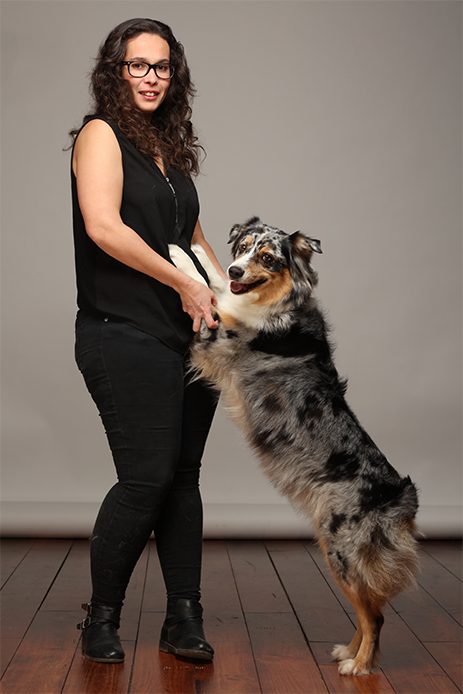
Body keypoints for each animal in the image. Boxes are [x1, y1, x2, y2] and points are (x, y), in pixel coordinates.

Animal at [170, 216, 420, 676]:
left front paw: (178, 256)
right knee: (367, 608)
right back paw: (348, 651)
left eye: (268, 257)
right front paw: (192, 254)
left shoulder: (217, 337)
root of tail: (402, 498)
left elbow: (204, 290)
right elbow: (214, 283)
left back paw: (359, 666)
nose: (236, 269)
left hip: (343, 548)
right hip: (334, 550)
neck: (271, 304)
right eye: (243, 248)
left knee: (375, 615)